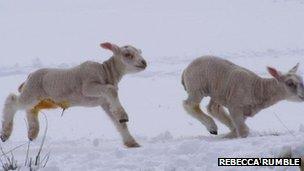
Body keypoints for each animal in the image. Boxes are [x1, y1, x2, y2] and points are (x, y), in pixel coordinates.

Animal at [0, 42, 147, 148]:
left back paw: (32, 132)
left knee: (31, 110)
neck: (106, 72)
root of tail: (29, 76)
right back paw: (6, 133)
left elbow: (119, 123)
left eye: (139, 52)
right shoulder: (88, 86)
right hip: (32, 92)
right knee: (11, 101)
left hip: (45, 100)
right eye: (127, 54)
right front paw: (124, 115)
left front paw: (131, 142)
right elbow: (111, 90)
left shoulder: (105, 102)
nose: (144, 63)